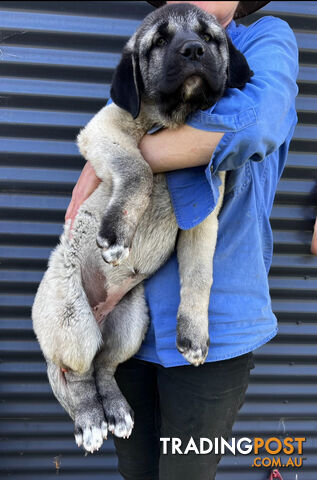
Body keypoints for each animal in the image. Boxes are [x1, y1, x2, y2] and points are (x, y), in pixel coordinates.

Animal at [31, 3, 252, 454]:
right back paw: (90, 420)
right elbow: (140, 169)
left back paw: (115, 410)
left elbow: (200, 276)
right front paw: (117, 233)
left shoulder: (203, 217)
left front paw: (193, 334)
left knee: (104, 367)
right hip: (71, 319)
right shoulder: (103, 130)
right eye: (160, 41)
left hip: (131, 324)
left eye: (210, 37)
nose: (194, 50)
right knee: (78, 375)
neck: (171, 121)